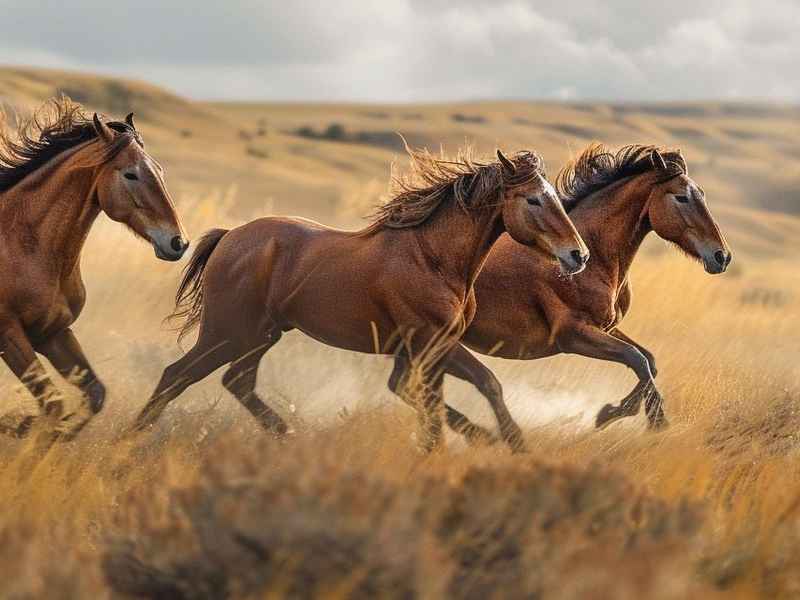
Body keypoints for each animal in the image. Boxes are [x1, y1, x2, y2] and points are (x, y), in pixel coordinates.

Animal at [0, 98, 188, 439]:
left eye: (159, 171)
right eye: (131, 175)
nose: (178, 242)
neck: (23, 244)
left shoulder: (53, 333)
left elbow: (94, 396)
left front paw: (32, 428)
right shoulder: (9, 334)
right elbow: (54, 405)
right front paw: (21, 427)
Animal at [131, 145, 589, 452]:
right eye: (533, 199)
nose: (578, 255)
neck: (431, 257)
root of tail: (229, 238)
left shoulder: (434, 347)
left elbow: (463, 390)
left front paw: (488, 441)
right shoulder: (429, 342)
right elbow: (460, 393)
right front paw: (497, 443)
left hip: (261, 335)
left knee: (237, 382)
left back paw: (288, 435)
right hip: (227, 333)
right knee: (176, 376)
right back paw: (131, 438)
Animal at [410, 145, 732, 452]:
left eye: (700, 194)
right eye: (681, 198)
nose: (722, 256)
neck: (593, 257)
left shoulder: (606, 327)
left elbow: (648, 361)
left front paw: (621, 412)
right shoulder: (573, 335)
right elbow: (637, 359)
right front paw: (647, 420)